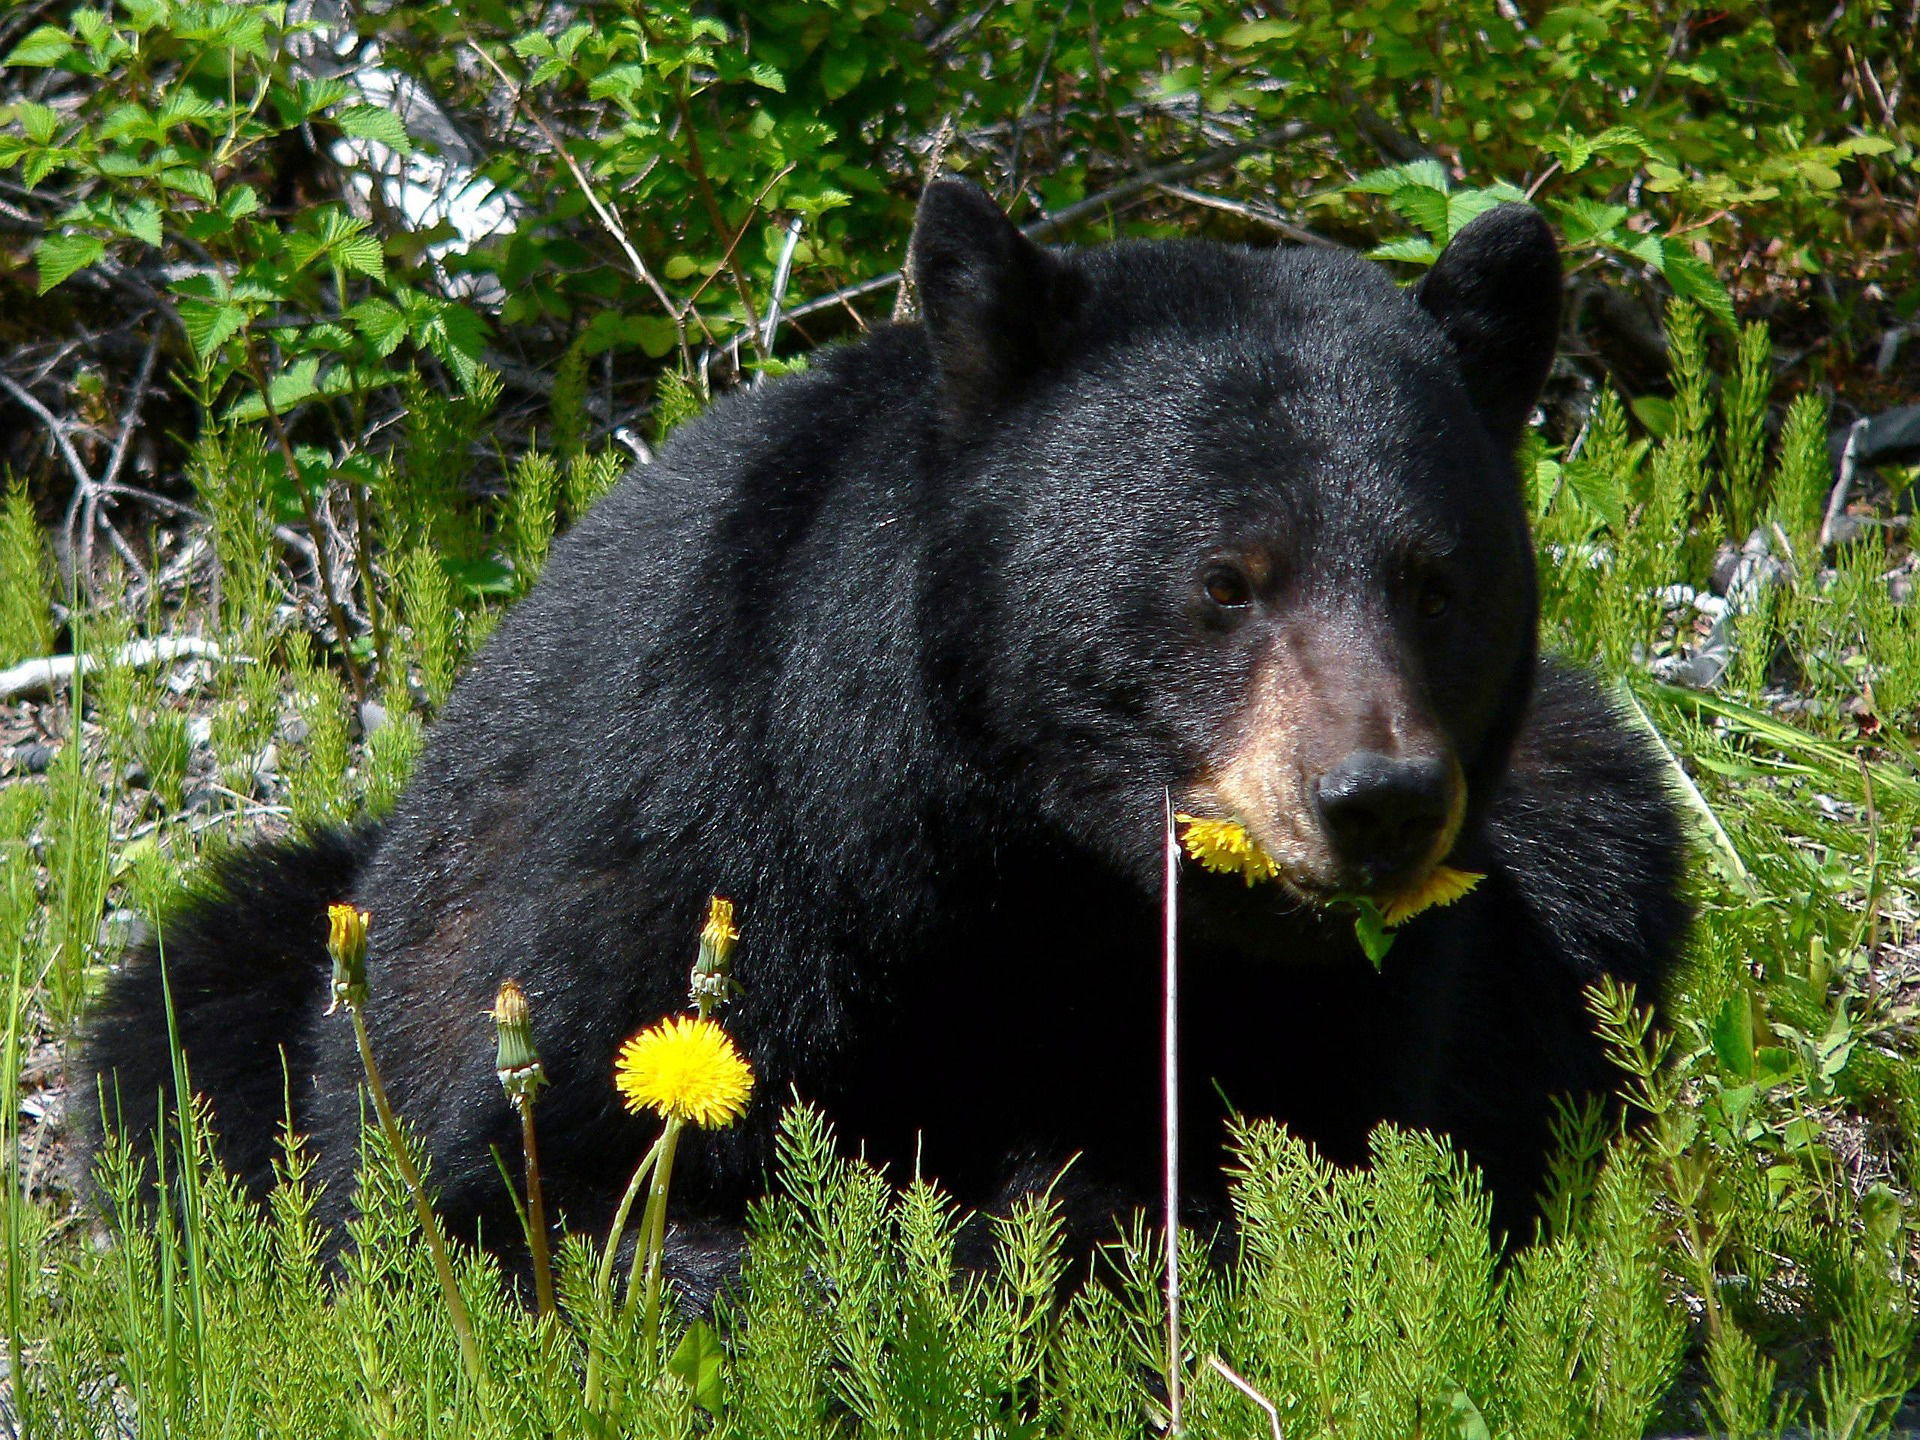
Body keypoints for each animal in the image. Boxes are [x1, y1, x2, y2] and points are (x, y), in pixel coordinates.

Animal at [90, 177, 1681, 1259]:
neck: (1022, 864)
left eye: (1436, 581)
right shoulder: (679, 850)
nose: (1376, 800)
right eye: (1226, 580)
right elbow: (522, 1183)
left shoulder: (1341, 1000)